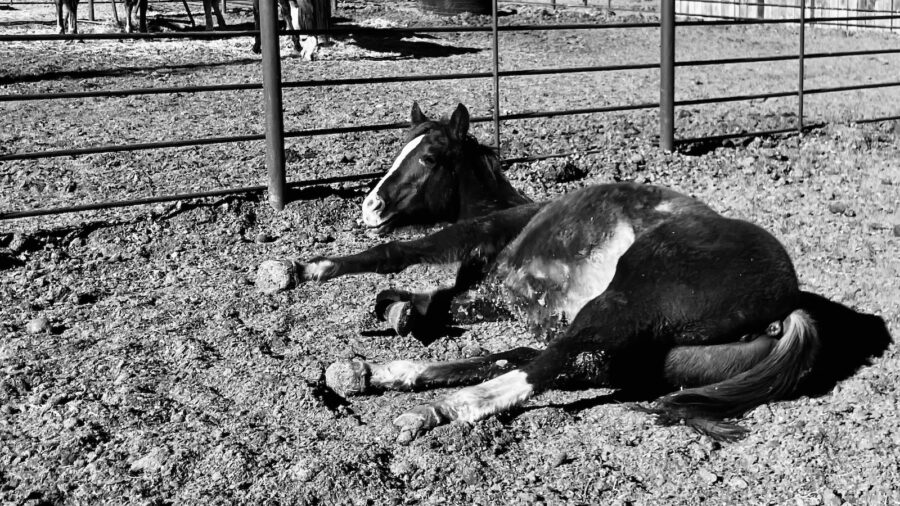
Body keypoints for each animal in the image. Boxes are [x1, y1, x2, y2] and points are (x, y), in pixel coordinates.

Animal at [259, 103, 892, 443]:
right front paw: (396, 316)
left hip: (626, 303)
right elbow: (426, 302)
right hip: (639, 351)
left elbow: (395, 258)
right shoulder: (491, 299)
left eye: (430, 156)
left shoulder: (473, 242)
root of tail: (789, 304)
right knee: (542, 360)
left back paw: (428, 412)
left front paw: (291, 269)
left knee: (540, 366)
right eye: (398, 147)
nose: (369, 208)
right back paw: (373, 373)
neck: (510, 213)